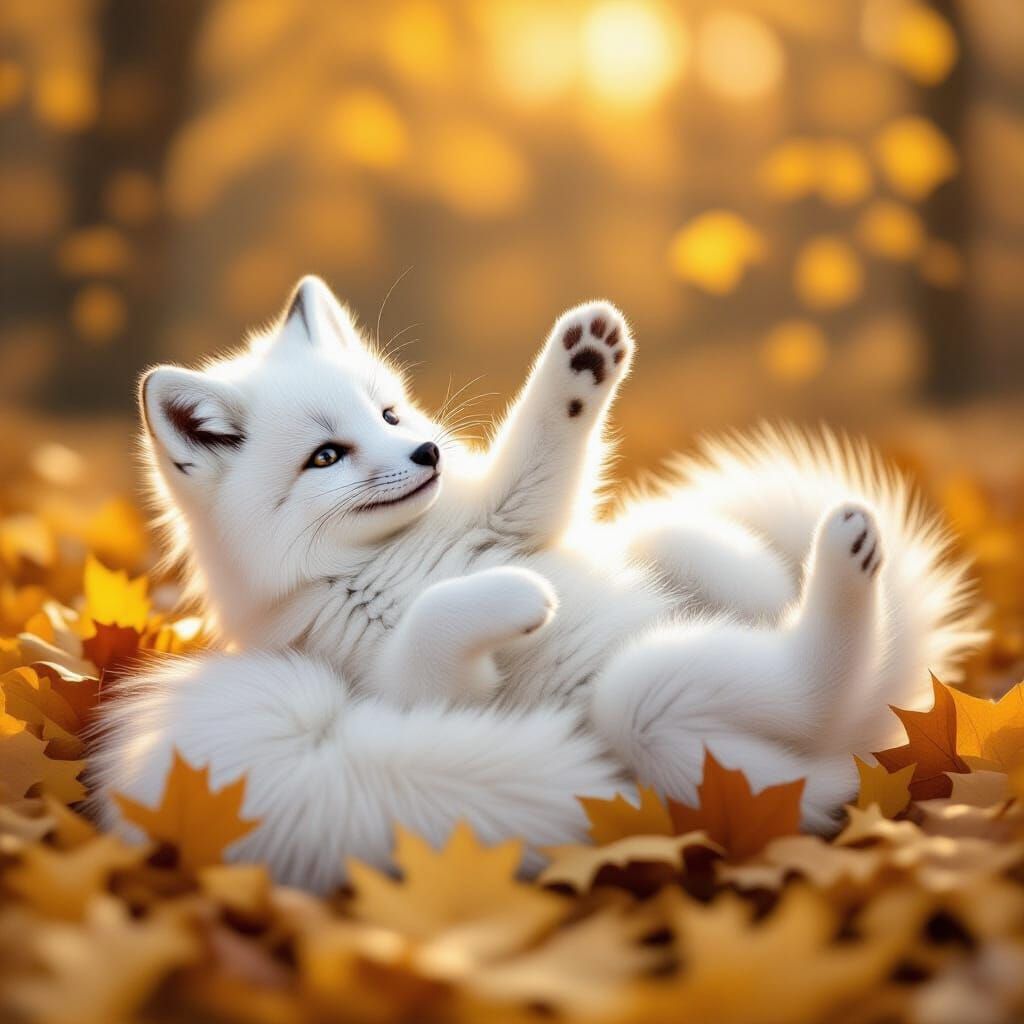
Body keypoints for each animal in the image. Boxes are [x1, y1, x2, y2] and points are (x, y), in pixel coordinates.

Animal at [91, 276, 984, 892]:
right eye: (326, 456)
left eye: (388, 416)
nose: (426, 454)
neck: (393, 559)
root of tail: (882, 723)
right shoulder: (415, 693)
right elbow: (435, 632)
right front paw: (518, 600)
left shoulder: (511, 519)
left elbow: (539, 458)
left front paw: (583, 359)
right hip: (662, 721)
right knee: (809, 697)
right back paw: (845, 566)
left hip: (675, 587)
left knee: (705, 563)